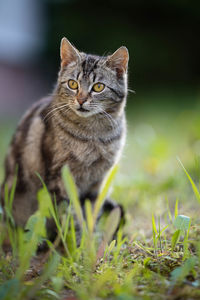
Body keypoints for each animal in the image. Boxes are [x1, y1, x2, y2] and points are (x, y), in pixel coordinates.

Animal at [0, 37, 129, 234]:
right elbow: (71, 217)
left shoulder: (96, 183)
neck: (93, 134)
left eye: (98, 87)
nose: (81, 100)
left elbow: (91, 214)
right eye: (73, 84)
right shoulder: (61, 179)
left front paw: (91, 238)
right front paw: (77, 240)